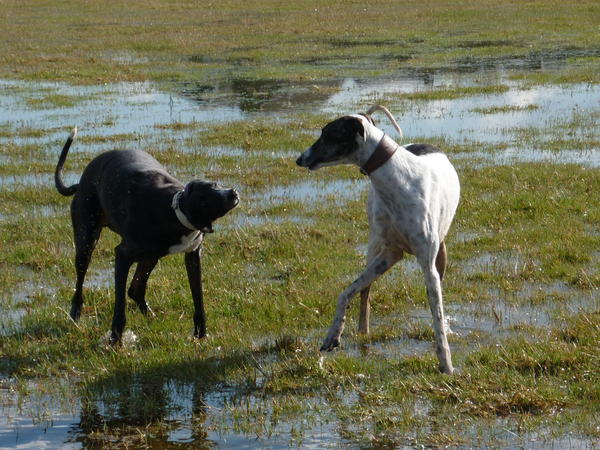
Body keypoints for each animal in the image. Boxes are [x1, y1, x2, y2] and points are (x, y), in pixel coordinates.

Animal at [53, 128, 237, 342]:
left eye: (215, 184)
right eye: (205, 198)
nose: (233, 193)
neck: (173, 209)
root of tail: (81, 183)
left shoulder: (192, 256)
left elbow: (198, 298)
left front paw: (201, 334)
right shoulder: (122, 256)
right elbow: (119, 305)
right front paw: (115, 339)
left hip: (150, 256)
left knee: (135, 289)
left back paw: (149, 314)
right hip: (86, 242)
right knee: (81, 281)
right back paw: (75, 312)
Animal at [296, 105, 460, 372]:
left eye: (327, 134)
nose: (300, 159)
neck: (397, 178)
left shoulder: (425, 264)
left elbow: (436, 313)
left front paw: (446, 363)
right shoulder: (391, 253)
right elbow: (346, 292)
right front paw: (333, 334)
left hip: (439, 253)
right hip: (374, 245)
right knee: (365, 290)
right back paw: (363, 330)